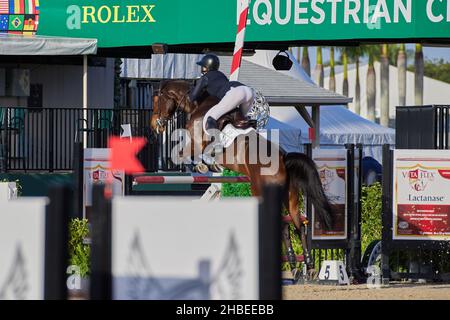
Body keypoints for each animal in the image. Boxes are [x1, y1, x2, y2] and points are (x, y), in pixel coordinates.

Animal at [151, 79, 334, 278]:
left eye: (156, 101)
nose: (154, 126)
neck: (199, 104)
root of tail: (284, 160)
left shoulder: (196, 143)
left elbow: (184, 154)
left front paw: (202, 166)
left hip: (261, 192)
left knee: (283, 225)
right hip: (290, 197)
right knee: (296, 226)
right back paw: (303, 266)